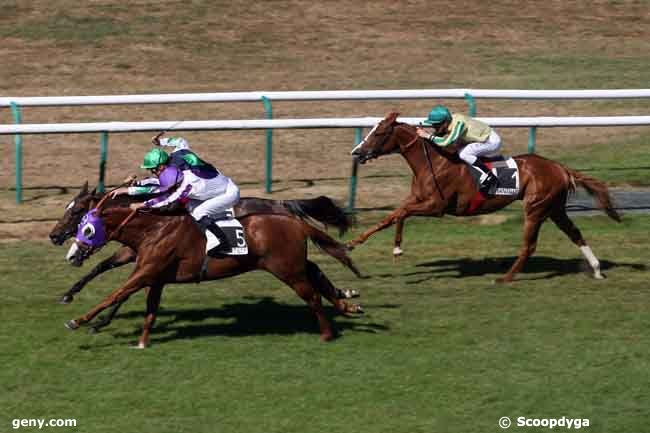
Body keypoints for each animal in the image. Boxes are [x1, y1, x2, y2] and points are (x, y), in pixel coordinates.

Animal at [60, 191, 362, 346]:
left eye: (84, 224)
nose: (67, 249)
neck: (154, 228)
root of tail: (294, 220)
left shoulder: (146, 270)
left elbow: (116, 294)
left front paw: (81, 321)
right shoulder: (153, 274)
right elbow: (145, 307)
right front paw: (141, 340)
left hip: (287, 270)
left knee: (312, 294)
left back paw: (327, 333)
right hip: (293, 266)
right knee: (316, 276)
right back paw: (346, 304)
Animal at [346, 110, 620, 284]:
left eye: (378, 133)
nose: (356, 152)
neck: (432, 161)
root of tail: (560, 168)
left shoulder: (436, 206)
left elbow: (401, 214)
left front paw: (396, 249)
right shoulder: (417, 200)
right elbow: (392, 216)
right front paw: (354, 243)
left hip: (536, 209)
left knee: (529, 245)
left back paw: (506, 278)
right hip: (554, 208)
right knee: (575, 233)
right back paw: (596, 270)